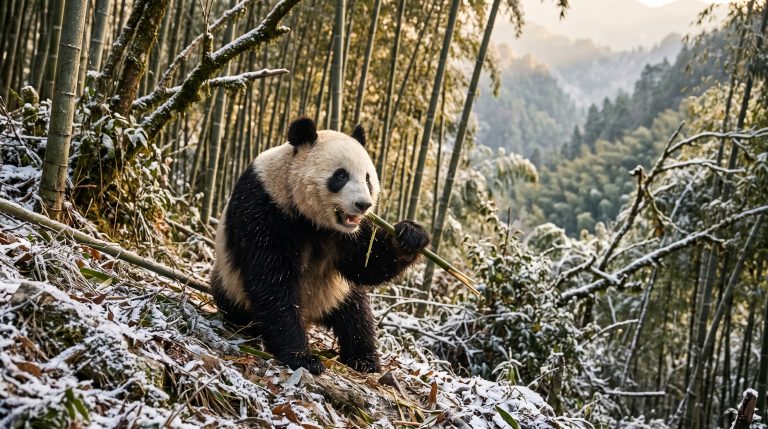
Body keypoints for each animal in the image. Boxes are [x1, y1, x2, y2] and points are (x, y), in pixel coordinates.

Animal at [211, 117, 430, 375]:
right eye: (341, 176)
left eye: (367, 178)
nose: (363, 205)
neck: (312, 219)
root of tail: (312, 316)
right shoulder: (265, 206)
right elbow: (272, 279)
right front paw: (301, 357)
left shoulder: (348, 234)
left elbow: (366, 265)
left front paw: (410, 236)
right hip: (230, 284)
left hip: (336, 291)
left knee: (356, 315)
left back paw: (364, 359)